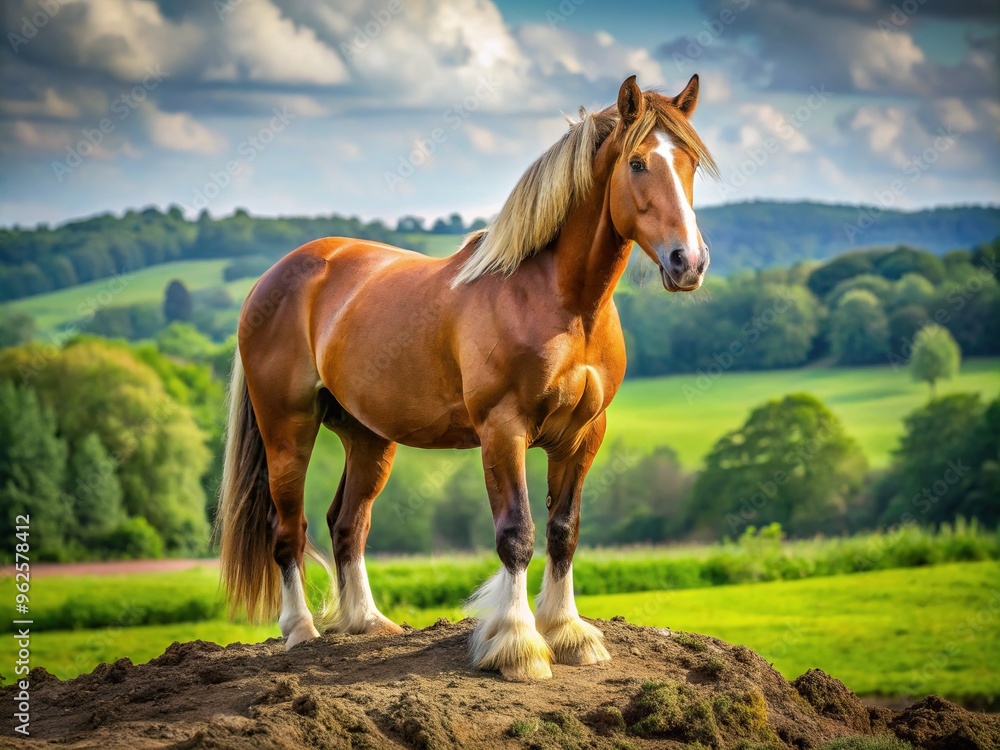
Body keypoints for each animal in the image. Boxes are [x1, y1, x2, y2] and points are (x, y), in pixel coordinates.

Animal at [215, 74, 717, 680]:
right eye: (639, 163)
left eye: (690, 162)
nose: (688, 261)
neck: (559, 298)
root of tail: (274, 277)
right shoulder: (503, 431)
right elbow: (517, 535)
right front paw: (520, 645)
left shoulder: (582, 436)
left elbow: (564, 532)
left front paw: (569, 633)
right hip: (287, 430)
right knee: (289, 530)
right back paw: (301, 631)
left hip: (369, 437)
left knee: (347, 523)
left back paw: (366, 623)